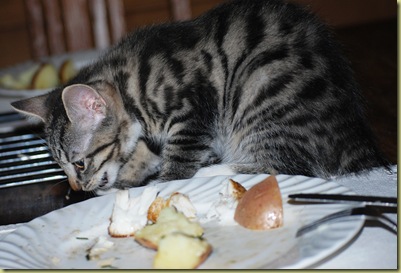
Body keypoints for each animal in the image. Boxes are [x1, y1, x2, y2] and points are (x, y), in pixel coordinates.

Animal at [11, 0, 388, 193]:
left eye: (79, 163)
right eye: (61, 166)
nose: (77, 188)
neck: (131, 85)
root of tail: (355, 138)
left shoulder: (193, 110)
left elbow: (179, 157)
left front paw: (162, 182)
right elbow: (145, 153)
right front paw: (131, 176)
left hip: (262, 90)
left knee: (285, 166)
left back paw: (215, 171)